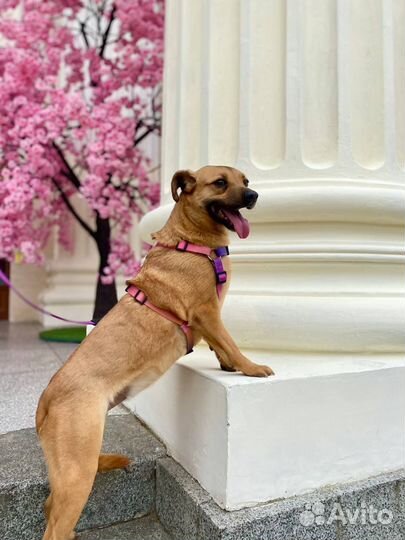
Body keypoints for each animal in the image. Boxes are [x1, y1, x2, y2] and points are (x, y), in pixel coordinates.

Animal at [36, 166, 274, 540]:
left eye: (246, 182)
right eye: (220, 183)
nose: (254, 197)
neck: (192, 241)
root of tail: (45, 399)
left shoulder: (210, 318)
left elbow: (220, 345)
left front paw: (227, 364)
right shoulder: (207, 312)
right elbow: (230, 342)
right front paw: (249, 367)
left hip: (67, 473)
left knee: (50, 509)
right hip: (78, 471)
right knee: (56, 526)